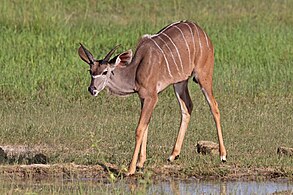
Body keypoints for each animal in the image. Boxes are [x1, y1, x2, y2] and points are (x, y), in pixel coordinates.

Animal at [77, 20, 226, 175]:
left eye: (105, 71)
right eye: (90, 71)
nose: (92, 89)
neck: (136, 70)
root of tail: (204, 34)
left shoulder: (152, 97)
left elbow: (139, 129)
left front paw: (130, 169)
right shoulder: (143, 98)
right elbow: (146, 125)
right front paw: (140, 163)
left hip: (204, 75)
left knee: (214, 106)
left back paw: (222, 155)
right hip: (180, 82)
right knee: (187, 107)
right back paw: (173, 155)